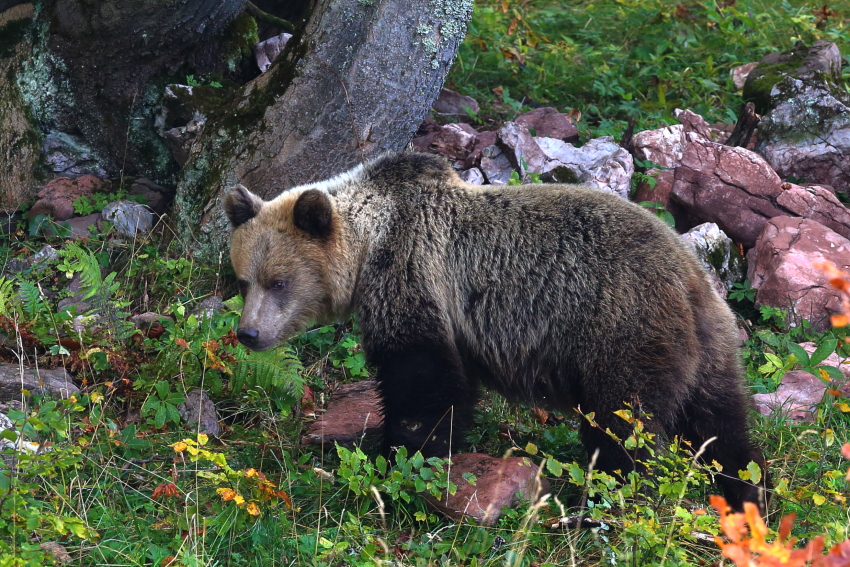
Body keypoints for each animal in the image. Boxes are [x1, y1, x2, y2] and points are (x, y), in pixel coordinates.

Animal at [222, 153, 764, 512]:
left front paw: (399, 453)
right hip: (710, 345)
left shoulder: (414, 274)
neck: (370, 242)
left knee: (623, 423)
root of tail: (691, 278)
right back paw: (746, 492)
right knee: (721, 423)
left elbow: (423, 383)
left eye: (279, 282)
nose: (248, 334)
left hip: (621, 329)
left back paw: (597, 502)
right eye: (244, 279)